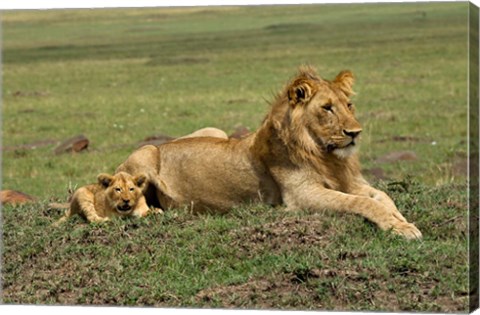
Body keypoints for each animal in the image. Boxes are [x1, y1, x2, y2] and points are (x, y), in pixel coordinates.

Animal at [118, 66, 422, 239]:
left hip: (215, 130)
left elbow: (382, 197)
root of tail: (163, 144)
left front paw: (401, 220)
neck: (323, 155)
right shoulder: (302, 195)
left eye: (349, 105)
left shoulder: (349, 181)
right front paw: (402, 229)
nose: (355, 132)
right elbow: (361, 203)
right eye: (327, 108)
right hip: (145, 153)